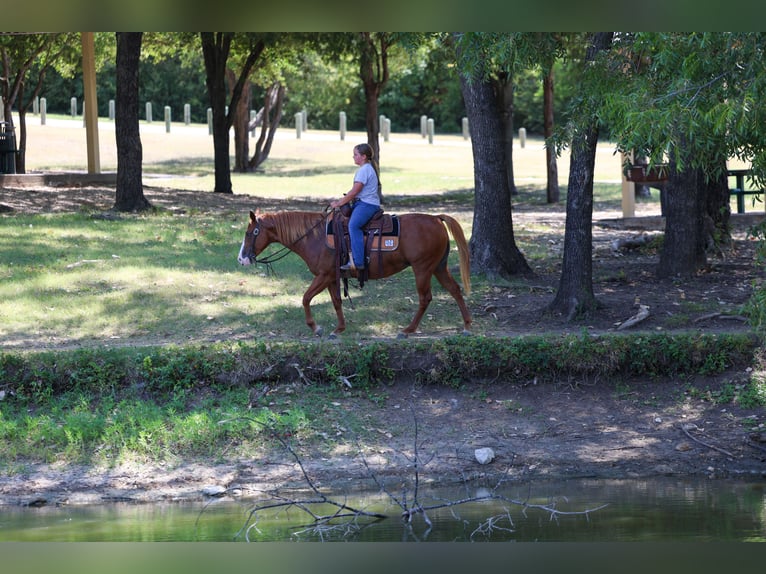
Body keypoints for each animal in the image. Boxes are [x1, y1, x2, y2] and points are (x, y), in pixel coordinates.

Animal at [237, 209, 472, 339]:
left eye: (250, 233)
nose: (242, 258)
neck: (314, 236)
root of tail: (436, 218)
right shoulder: (332, 277)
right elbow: (336, 302)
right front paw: (338, 329)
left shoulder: (323, 275)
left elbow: (305, 298)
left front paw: (316, 328)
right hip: (438, 267)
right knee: (455, 290)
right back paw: (467, 325)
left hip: (422, 268)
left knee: (425, 298)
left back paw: (408, 330)